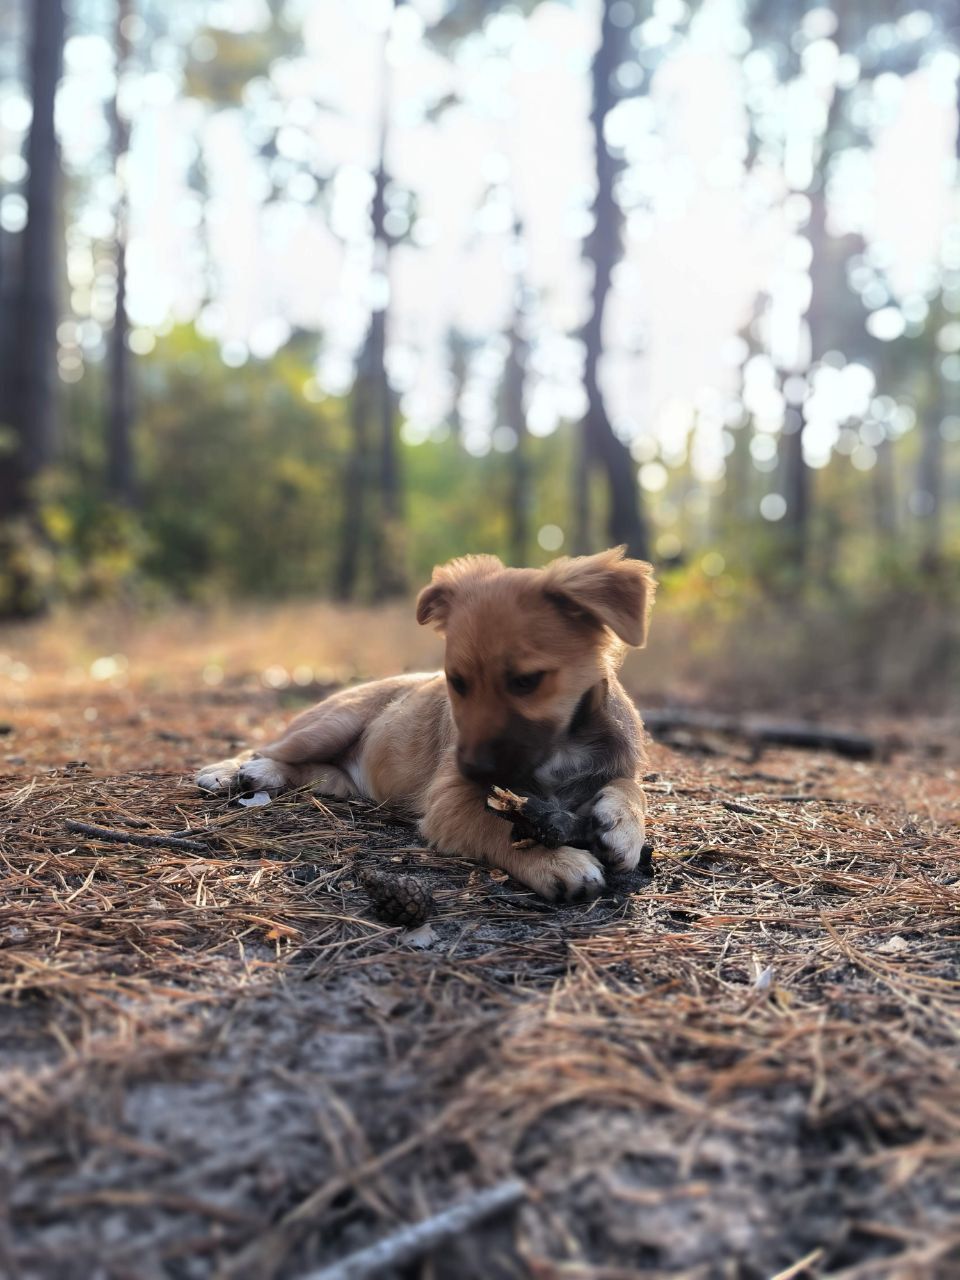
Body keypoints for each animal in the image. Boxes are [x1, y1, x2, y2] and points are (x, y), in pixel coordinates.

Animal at [198, 547, 660, 901]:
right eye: (457, 681)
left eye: (526, 681)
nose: (472, 769)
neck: (563, 745)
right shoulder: (450, 800)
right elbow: (499, 828)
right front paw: (558, 861)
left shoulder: (615, 765)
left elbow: (632, 788)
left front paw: (623, 827)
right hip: (330, 725)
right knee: (266, 747)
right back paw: (229, 772)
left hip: (341, 779)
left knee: (310, 772)